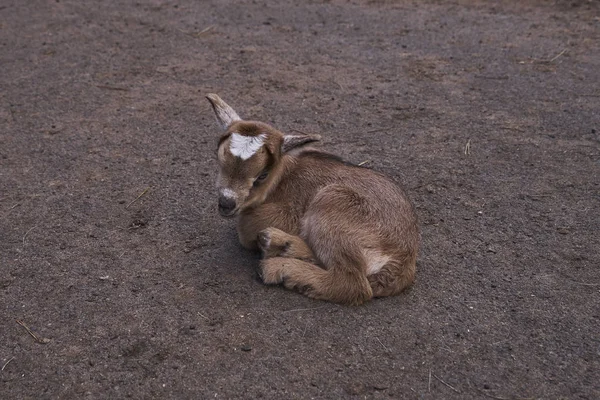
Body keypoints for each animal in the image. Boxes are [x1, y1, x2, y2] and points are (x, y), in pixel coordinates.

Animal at [205, 94, 418, 306]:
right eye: (220, 161)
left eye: (262, 175)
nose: (226, 203)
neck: (283, 178)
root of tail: (404, 258)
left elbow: (246, 229)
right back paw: (282, 244)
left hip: (334, 202)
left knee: (353, 284)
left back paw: (277, 266)